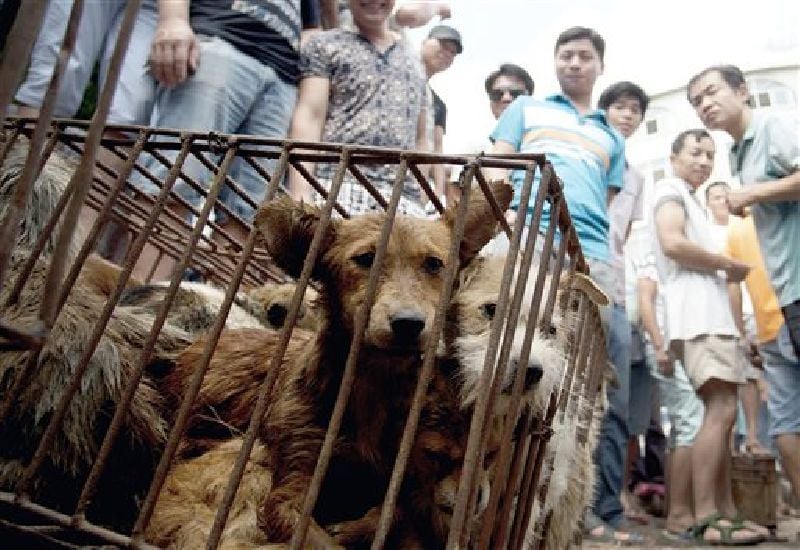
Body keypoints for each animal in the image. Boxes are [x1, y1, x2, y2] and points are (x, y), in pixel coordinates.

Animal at [145, 183, 512, 548]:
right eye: (365, 259)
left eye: (435, 264)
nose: (408, 324)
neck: (373, 386)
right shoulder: (290, 491)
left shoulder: (400, 473)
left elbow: (392, 513)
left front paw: (354, 527)